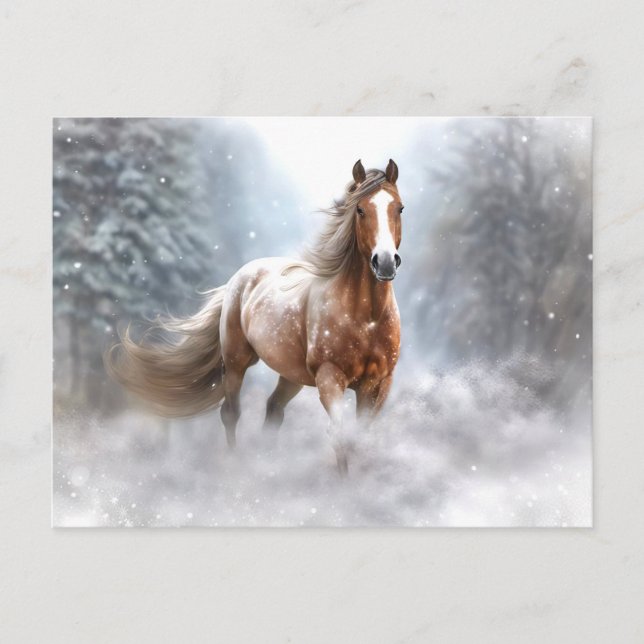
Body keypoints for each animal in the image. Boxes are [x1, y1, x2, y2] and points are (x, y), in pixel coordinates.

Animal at [106, 159, 404, 475]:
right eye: (360, 209)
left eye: (399, 208)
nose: (385, 262)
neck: (367, 317)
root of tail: (239, 277)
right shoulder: (330, 377)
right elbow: (340, 436)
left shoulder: (378, 384)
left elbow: (360, 437)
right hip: (237, 361)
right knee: (231, 413)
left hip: (291, 375)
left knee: (273, 409)